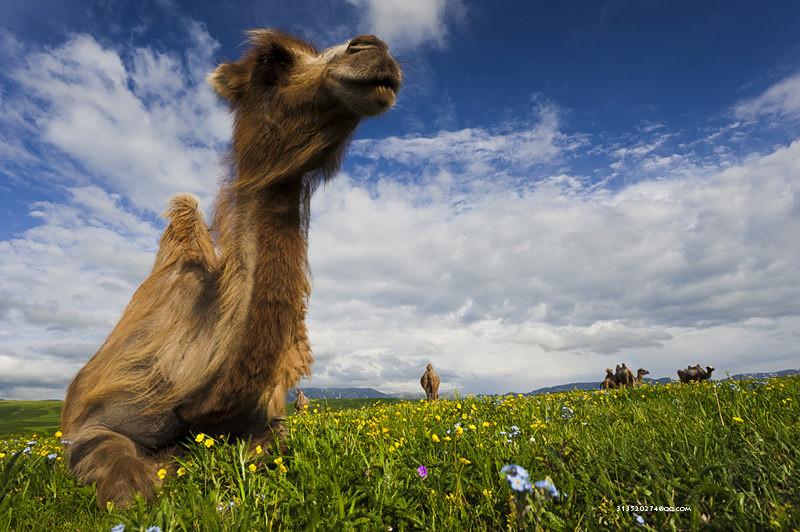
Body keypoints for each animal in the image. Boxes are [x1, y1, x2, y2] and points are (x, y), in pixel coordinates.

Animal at [60, 30, 404, 508]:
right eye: (271, 61)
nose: (373, 48)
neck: (200, 386)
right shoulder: (97, 420)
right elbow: (127, 484)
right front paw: (161, 472)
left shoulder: (265, 418)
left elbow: (277, 441)